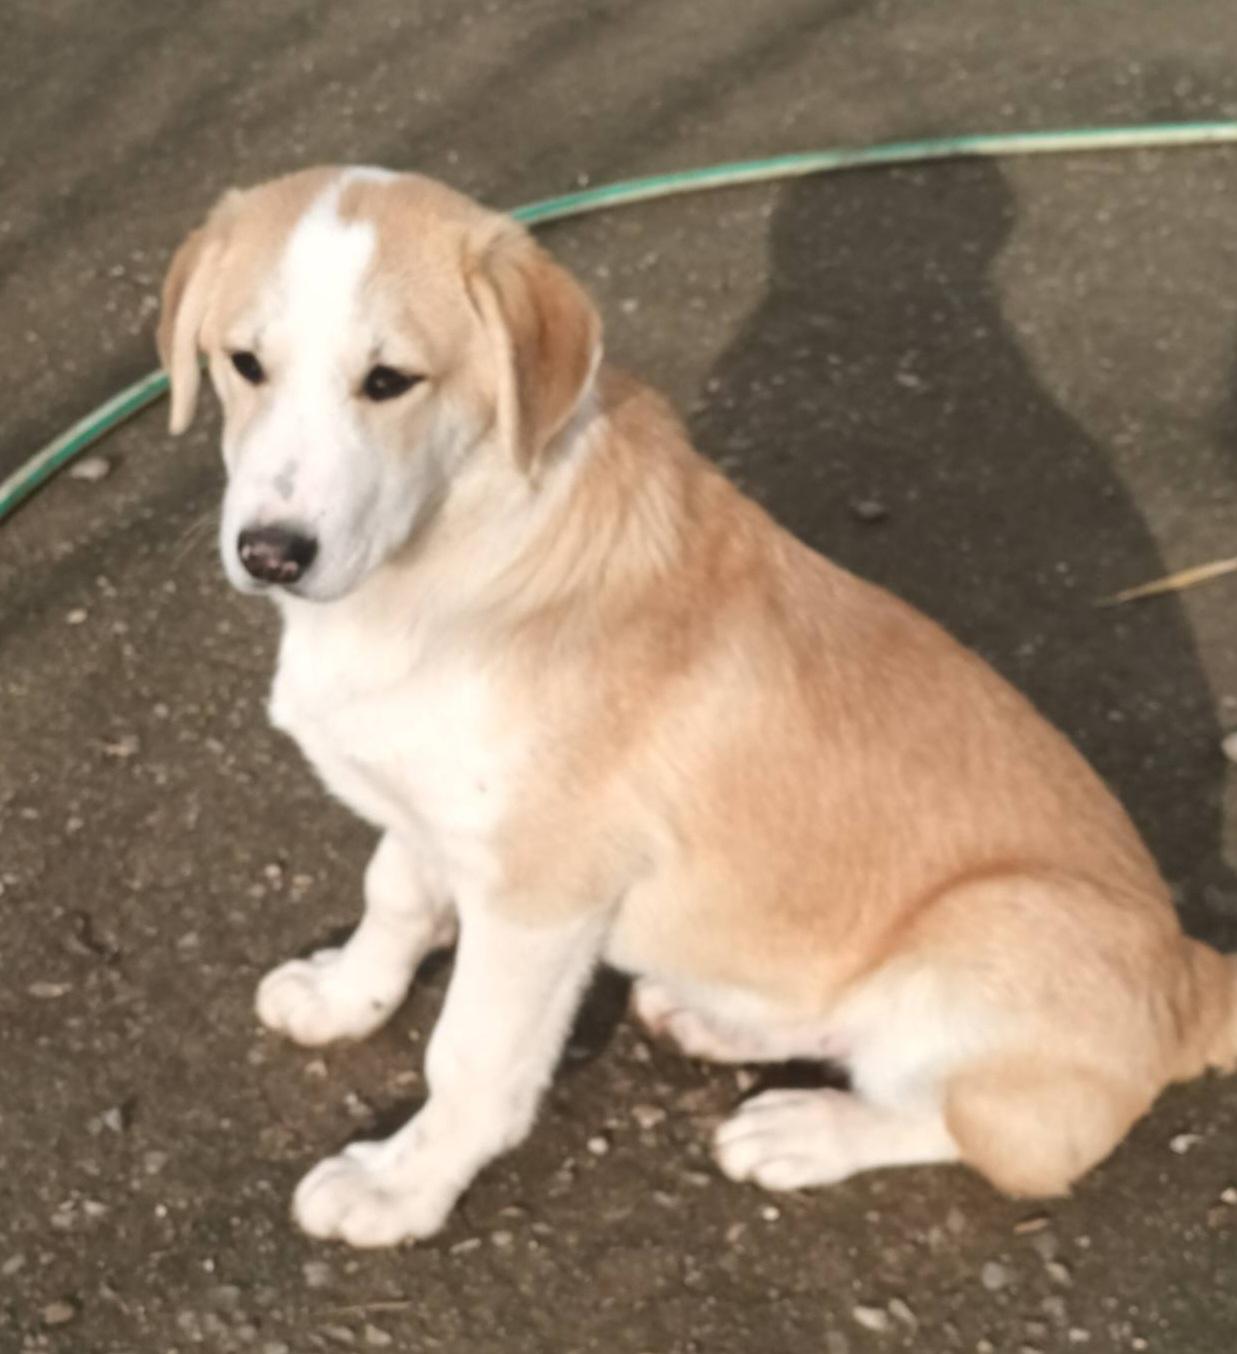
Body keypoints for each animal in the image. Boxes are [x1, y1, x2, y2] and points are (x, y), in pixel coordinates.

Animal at [159, 166, 1237, 1248]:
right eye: (244, 364)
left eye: (389, 382)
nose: (270, 554)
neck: (451, 552)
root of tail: (1192, 975)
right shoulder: (433, 807)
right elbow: (392, 892)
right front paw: (345, 994)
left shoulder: (540, 894)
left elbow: (469, 1059)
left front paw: (399, 1186)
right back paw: (711, 1017)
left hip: (986, 928)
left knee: (983, 1136)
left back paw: (805, 1130)